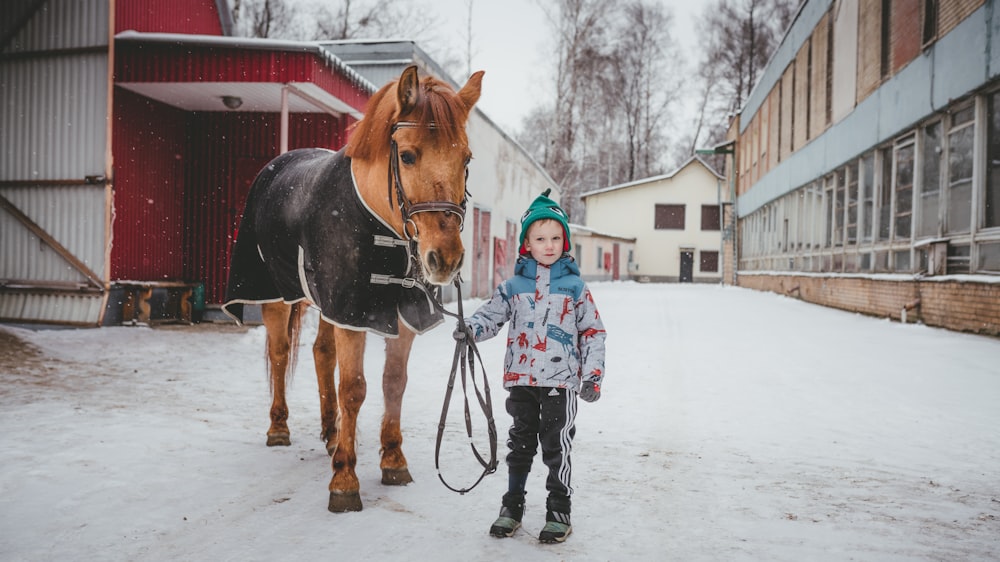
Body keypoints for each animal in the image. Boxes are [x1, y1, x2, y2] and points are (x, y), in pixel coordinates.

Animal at [222, 64, 484, 508]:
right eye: (407, 155)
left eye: (465, 158)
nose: (445, 259)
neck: (379, 221)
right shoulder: (353, 314)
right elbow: (354, 388)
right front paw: (344, 480)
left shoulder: (397, 315)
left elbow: (393, 384)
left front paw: (393, 461)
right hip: (278, 295)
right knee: (280, 353)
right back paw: (279, 428)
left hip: (327, 305)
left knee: (320, 353)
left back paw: (331, 434)